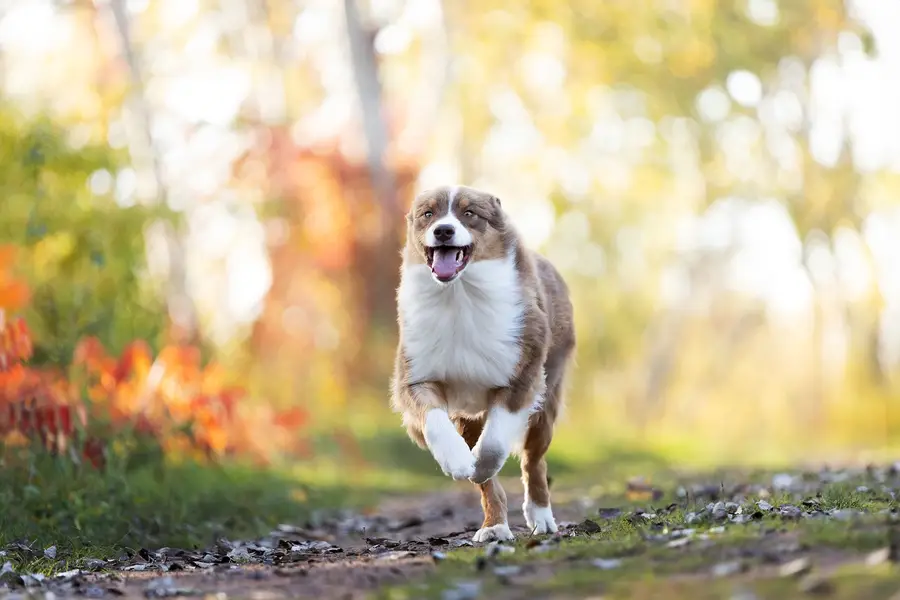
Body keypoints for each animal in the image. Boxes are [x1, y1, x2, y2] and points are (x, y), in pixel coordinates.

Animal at [388, 184, 572, 544]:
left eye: (469, 213)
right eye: (428, 213)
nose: (444, 231)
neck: (458, 296)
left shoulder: (522, 374)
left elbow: (495, 445)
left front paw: (478, 464)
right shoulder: (416, 375)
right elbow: (434, 421)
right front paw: (459, 461)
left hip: (548, 396)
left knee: (534, 461)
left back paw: (541, 517)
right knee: (491, 485)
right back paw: (494, 527)